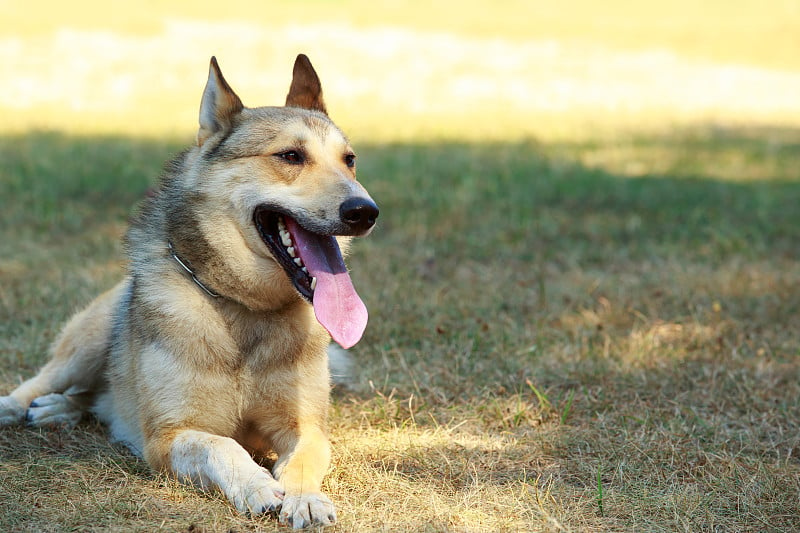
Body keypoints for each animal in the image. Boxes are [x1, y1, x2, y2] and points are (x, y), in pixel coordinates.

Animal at [0, 55, 380, 528]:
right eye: (290, 156)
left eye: (350, 161)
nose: (365, 211)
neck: (243, 307)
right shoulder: (168, 436)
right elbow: (221, 445)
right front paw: (255, 485)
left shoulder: (307, 428)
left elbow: (302, 462)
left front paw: (305, 497)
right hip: (86, 344)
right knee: (42, 383)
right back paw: (24, 406)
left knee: (96, 398)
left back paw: (60, 409)